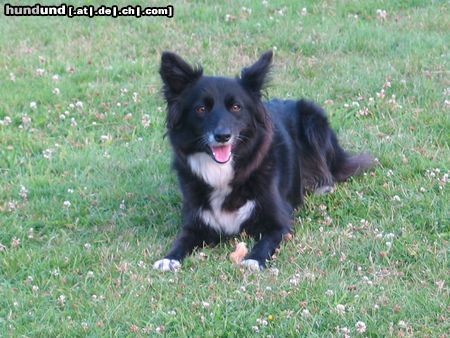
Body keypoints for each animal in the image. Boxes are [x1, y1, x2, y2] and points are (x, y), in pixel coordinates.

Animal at [153, 50, 370, 272]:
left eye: (236, 107)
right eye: (201, 109)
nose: (223, 136)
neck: (222, 171)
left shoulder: (280, 221)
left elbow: (265, 242)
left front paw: (253, 260)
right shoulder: (195, 224)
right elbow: (181, 240)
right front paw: (169, 258)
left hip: (313, 120)